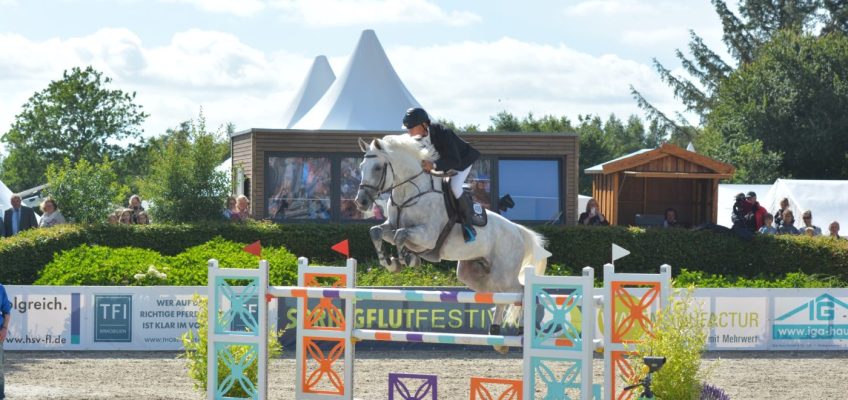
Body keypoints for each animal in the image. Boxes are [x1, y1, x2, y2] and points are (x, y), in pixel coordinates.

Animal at [352, 134, 548, 350]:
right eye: (361, 166)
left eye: (378, 167)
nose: (361, 202)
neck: (409, 193)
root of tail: (518, 231)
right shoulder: (391, 227)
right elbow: (376, 232)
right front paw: (390, 263)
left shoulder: (426, 236)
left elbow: (401, 235)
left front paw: (406, 259)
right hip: (476, 276)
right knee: (501, 297)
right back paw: (496, 335)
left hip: (503, 274)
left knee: (520, 291)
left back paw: (520, 329)